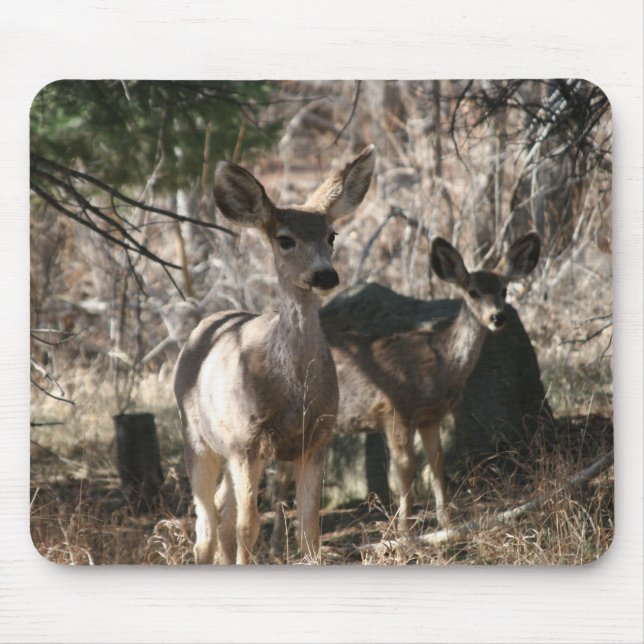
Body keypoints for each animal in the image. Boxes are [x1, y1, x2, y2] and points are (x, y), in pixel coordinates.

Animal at [173, 145, 376, 564]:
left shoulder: (316, 439)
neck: (293, 390)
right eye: (285, 239)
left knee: (222, 513)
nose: (325, 275)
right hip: (197, 437)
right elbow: (247, 528)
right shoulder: (246, 441)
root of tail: (205, 323)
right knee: (206, 524)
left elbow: (309, 530)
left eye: (332, 235)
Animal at [270, 232, 540, 552]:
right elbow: (405, 470)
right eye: (473, 292)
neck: (439, 367)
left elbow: (437, 464)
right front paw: (404, 533)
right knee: (278, 476)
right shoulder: (394, 410)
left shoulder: (430, 416)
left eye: (504, 290)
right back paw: (277, 545)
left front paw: (447, 524)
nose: (498, 317)